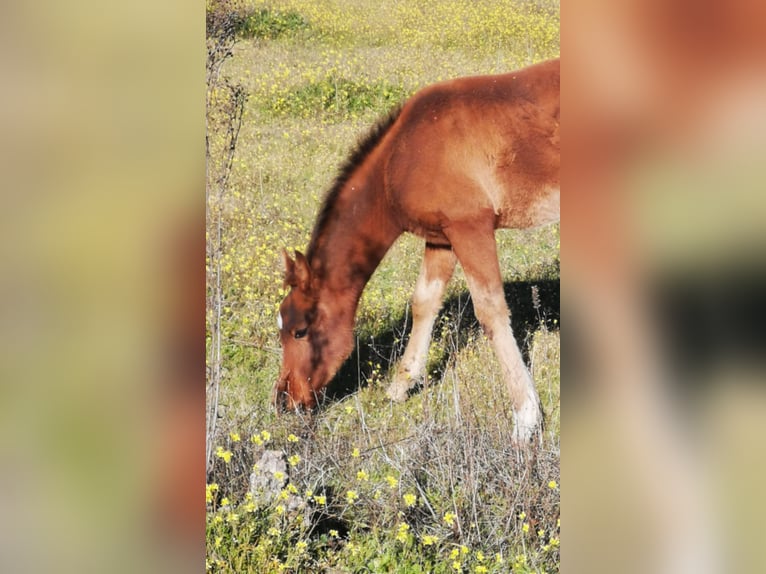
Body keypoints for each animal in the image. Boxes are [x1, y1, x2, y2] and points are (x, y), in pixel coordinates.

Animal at [272, 58, 560, 446]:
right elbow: (424, 302)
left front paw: (525, 417)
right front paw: (400, 385)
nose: (285, 401)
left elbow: (491, 311)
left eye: (300, 331)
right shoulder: (441, 238)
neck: (402, 155)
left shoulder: (470, 228)